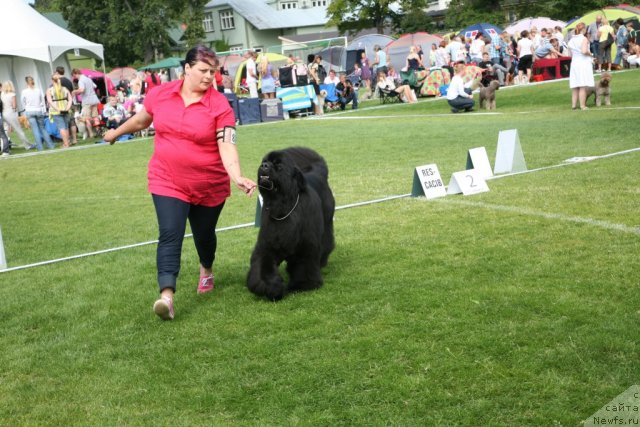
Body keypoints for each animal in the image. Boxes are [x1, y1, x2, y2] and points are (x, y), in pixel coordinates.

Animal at [246, 147, 336, 300]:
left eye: (279, 165)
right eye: (264, 161)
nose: (264, 166)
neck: (283, 207)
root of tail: (318, 173)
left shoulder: (306, 246)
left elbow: (304, 265)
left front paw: (302, 285)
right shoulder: (268, 245)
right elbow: (263, 266)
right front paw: (271, 287)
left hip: (327, 221)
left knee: (327, 242)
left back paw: (322, 261)